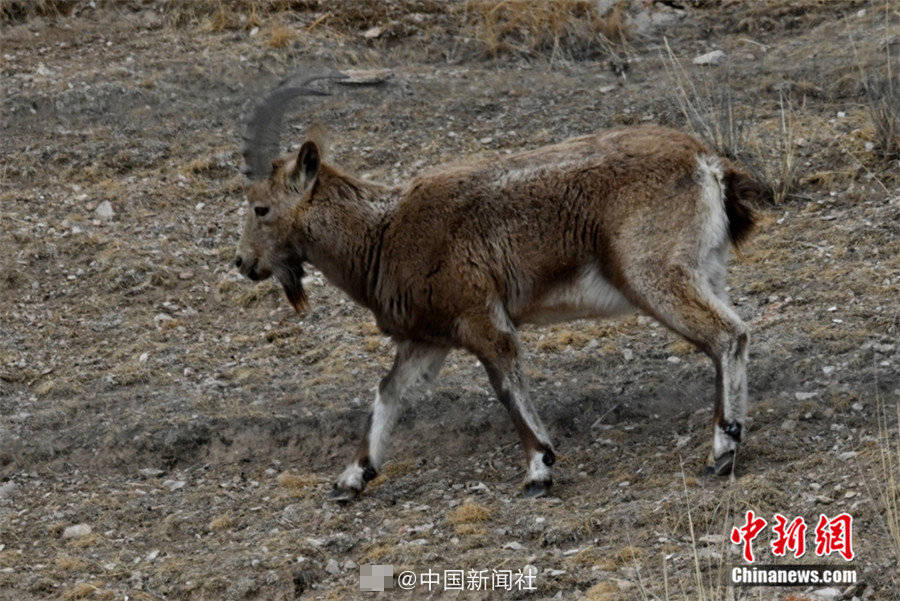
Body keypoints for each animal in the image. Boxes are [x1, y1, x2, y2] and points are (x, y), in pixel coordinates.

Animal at [234, 72, 768, 500]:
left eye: (261, 207)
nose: (244, 263)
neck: (383, 233)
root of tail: (707, 165)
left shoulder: (478, 316)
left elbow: (505, 381)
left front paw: (539, 469)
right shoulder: (427, 338)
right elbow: (389, 391)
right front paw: (352, 477)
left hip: (651, 272)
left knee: (726, 335)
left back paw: (722, 448)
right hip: (705, 269)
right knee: (733, 332)